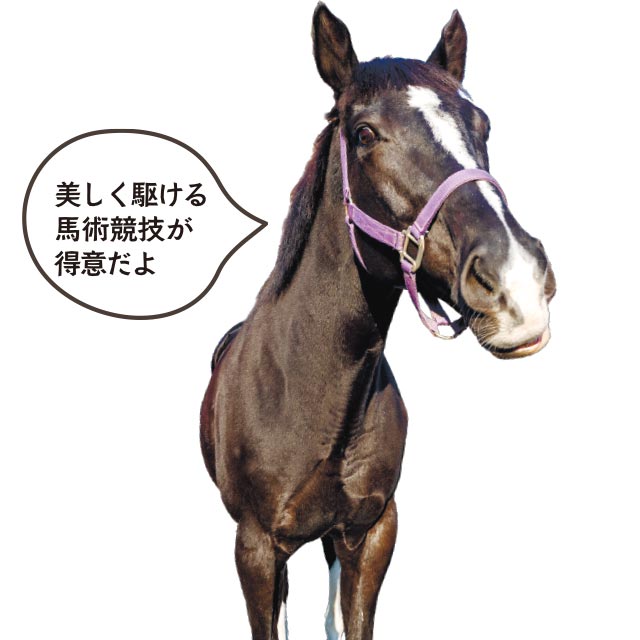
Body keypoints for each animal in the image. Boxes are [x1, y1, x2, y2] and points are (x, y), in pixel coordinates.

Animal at [200, 5, 556, 639]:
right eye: (363, 133)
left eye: (483, 124)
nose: (518, 284)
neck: (307, 390)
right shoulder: (256, 546)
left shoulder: (370, 532)